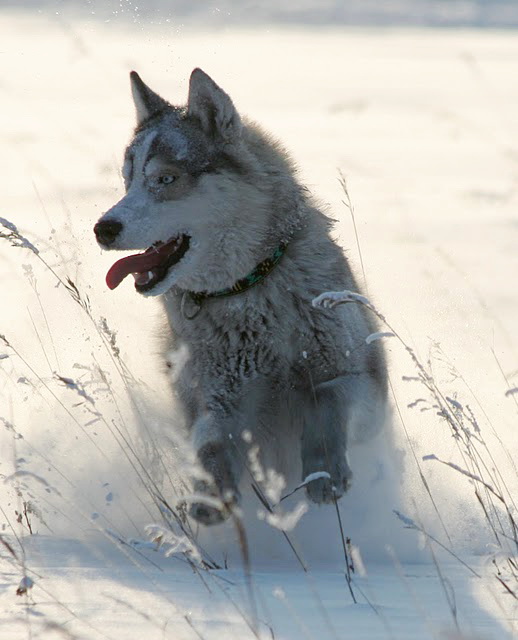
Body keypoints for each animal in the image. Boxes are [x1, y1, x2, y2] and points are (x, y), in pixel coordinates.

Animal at [93, 69, 388, 524]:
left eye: (164, 179)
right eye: (128, 182)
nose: (103, 228)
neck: (248, 293)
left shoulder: (361, 386)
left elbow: (326, 400)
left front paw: (324, 473)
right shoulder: (218, 401)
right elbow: (211, 443)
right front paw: (210, 496)